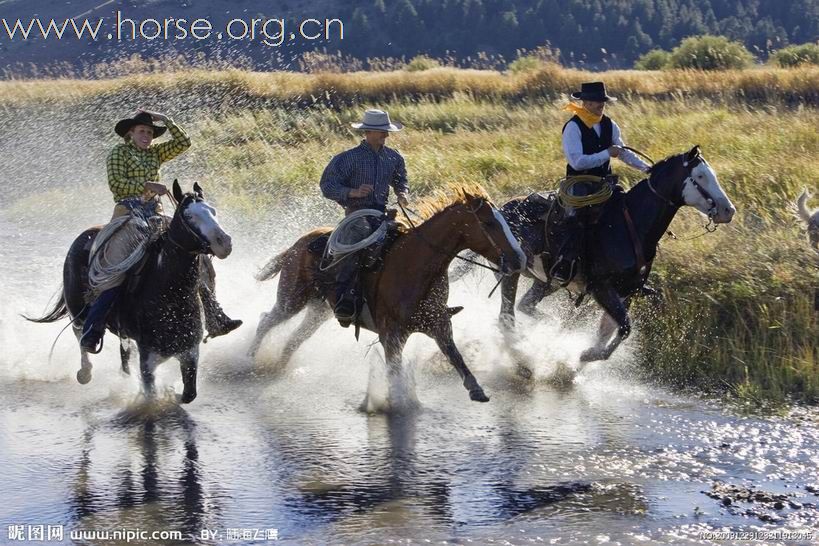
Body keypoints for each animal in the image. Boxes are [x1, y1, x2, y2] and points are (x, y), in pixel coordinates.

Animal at [26, 182, 231, 400]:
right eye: (189, 215)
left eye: (213, 211)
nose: (225, 242)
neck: (171, 296)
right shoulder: (148, 355)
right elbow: (151, 393)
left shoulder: (190, 351)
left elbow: (189, 394)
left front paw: (170, 391)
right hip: (77, 310)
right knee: (80, 334)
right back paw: (85, 371)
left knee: (124, 349)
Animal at [247, 185, 524, 402]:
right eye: (489, 223)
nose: (519, 258)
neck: (415, 264)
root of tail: (299, 243)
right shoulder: (391, 335)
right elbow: (394, 371)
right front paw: (397, 402)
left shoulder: (438, 323)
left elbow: (455, 355)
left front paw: (477, 389)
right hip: (292, 299)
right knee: (266, 320)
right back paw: (248, 360)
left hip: (319, 310)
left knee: (295, 338)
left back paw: (279, 367)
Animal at [462, 147, 736, 364]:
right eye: (700, 177)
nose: (728, 210)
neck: (631, 225)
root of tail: (502, 209)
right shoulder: (602, 287)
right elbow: (624, 328)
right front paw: (587, 355)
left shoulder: (627, 291)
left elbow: (614, 330)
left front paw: (578, 364)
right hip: (513, 273)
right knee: (506, 316)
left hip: (546, 281)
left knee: (524, 306)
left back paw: (548, 328)